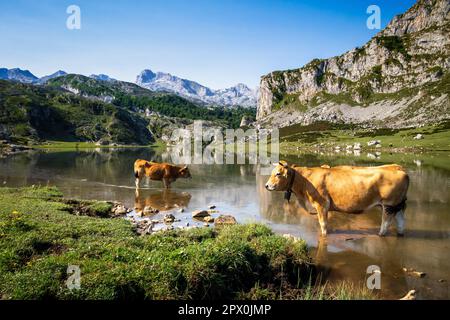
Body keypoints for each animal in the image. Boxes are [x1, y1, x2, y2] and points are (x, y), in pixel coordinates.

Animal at [266, 161, 410, 236]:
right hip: (398, 205)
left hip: (389, 204)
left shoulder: (321, 204)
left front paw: (324, 235)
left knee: (386, 223)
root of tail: (398, 167)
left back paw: (381, 234)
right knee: (401, 220)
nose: (266, 185)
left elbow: (323, 224)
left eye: (278, 174)